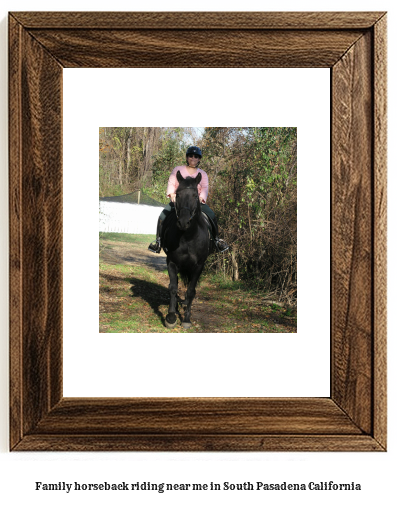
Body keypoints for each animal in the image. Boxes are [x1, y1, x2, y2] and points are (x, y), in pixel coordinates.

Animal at [161, 171, 212, 330]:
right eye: (177, 195)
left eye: (195, 195)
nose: (183, 222)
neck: (188, 236)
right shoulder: (171, 262)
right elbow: (173, 288)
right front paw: (171, 317)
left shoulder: (198, 266)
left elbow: (190, 291)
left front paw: (187, 319)